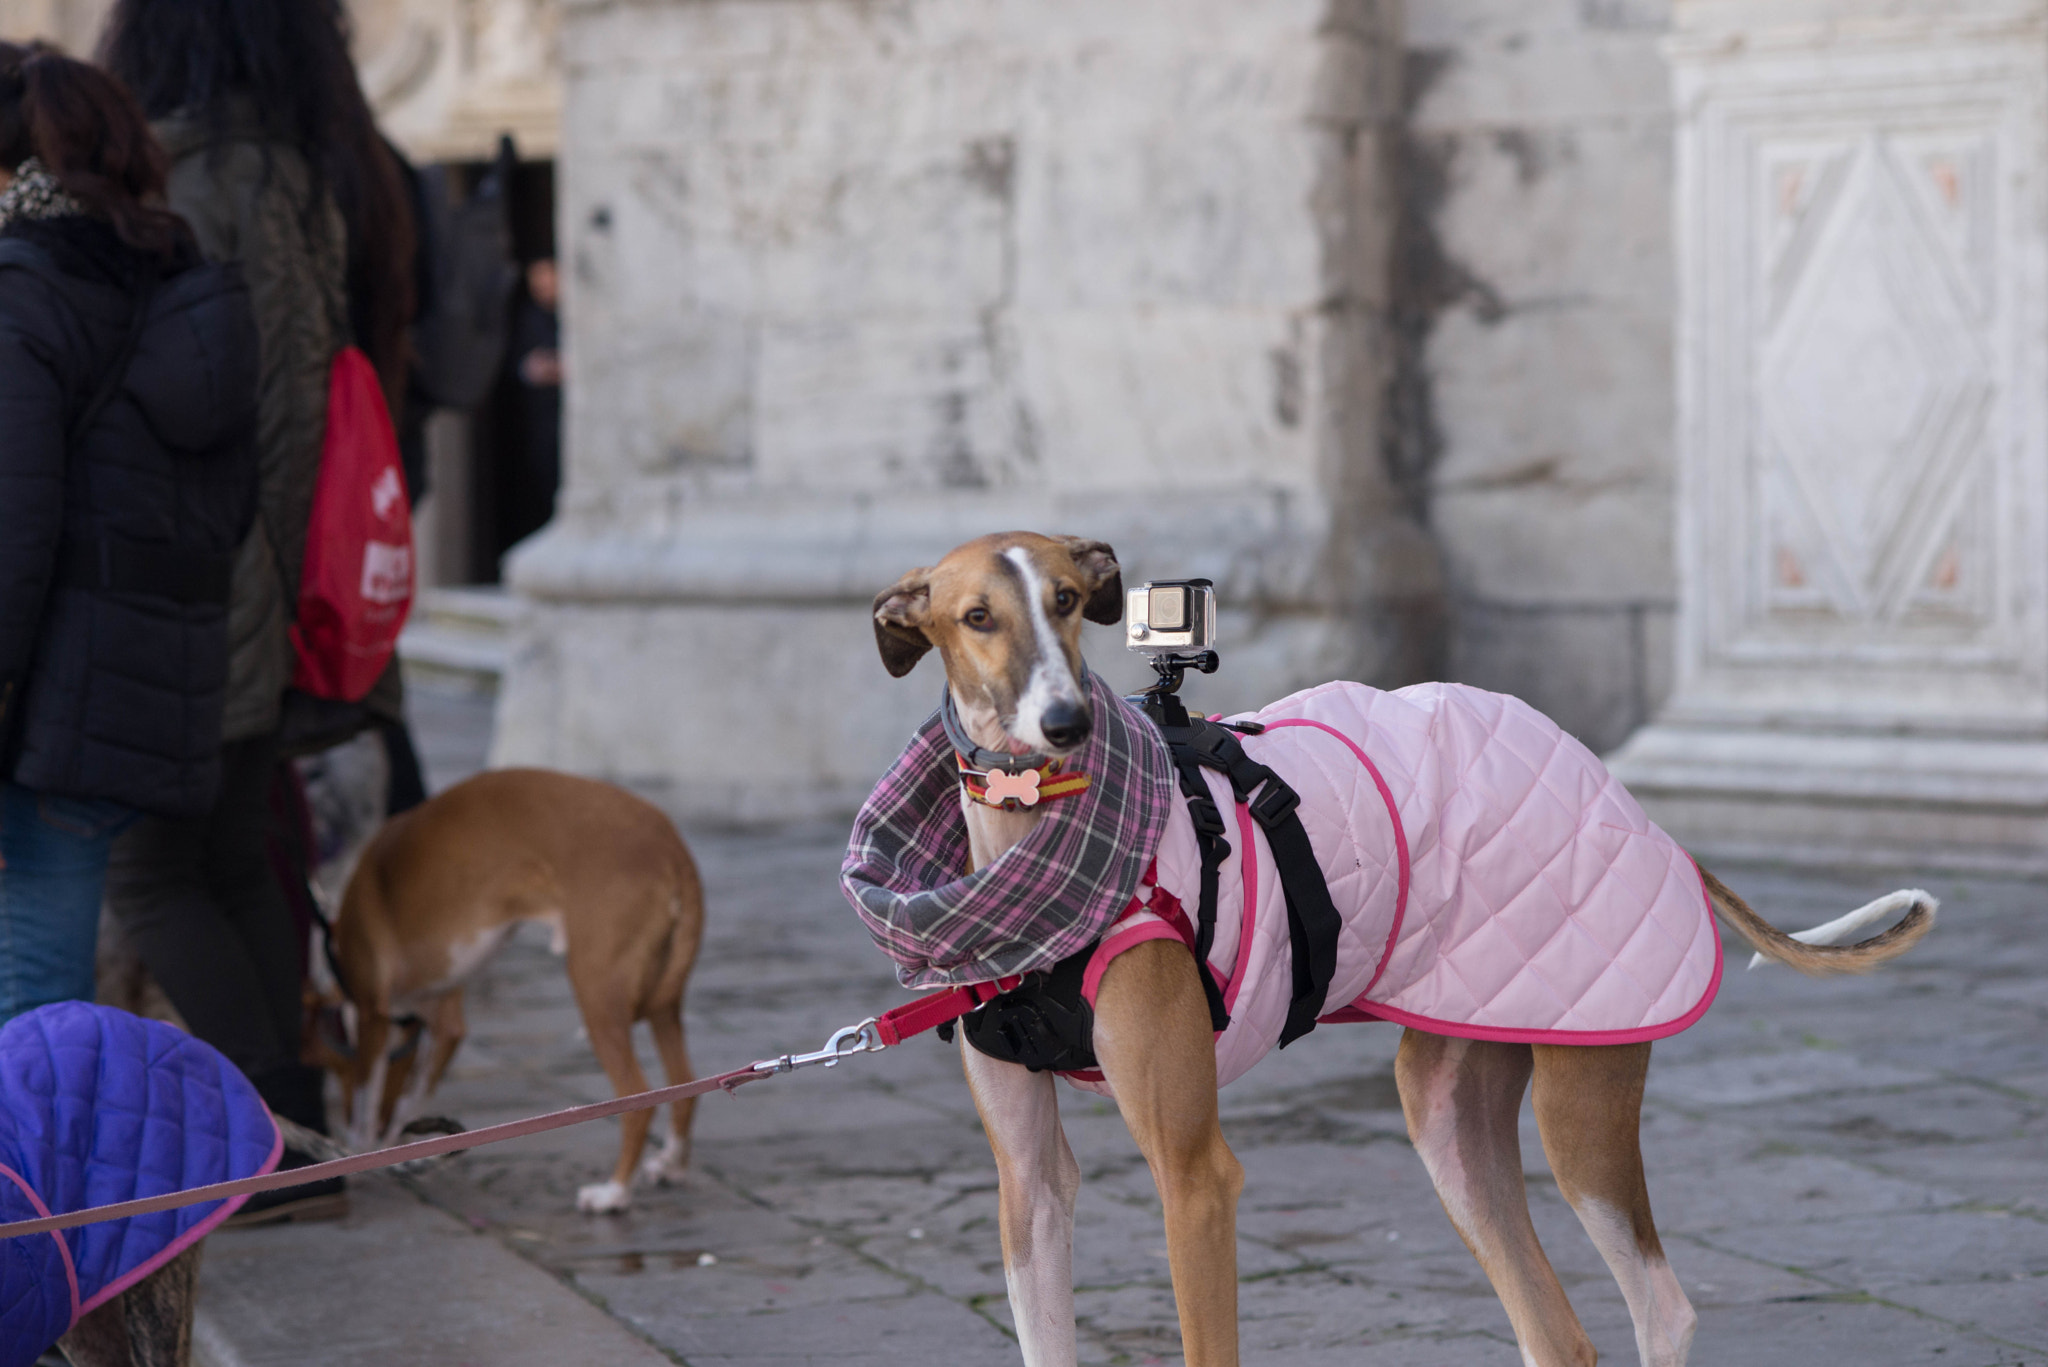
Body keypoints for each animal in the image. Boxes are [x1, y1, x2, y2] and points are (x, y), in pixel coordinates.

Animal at [311, 774, 708, 1213]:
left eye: (332, 1068)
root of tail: (671, 843)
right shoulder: (443, 1023)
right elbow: (408, 1097)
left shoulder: (373, 1016)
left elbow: (371, 1101)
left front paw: (361, 1153)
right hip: (662, 1005)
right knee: (684, 1085)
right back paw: (671, 1166)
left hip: (597, 994)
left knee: (637, 1098)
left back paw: (613, 1194)